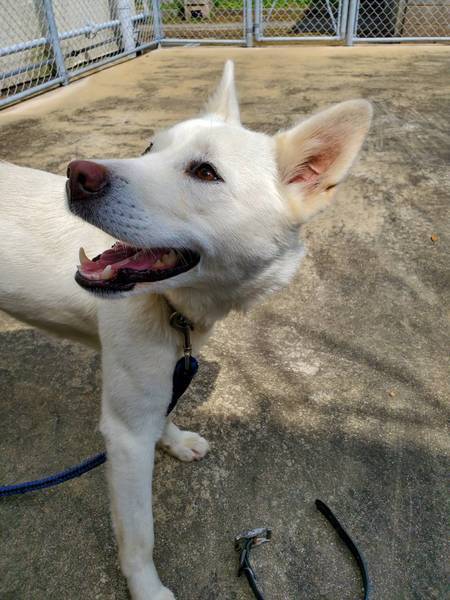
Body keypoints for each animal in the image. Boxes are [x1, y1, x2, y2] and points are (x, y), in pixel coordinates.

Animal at [0, 61, 371, 599]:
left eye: (204, 173)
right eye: (149, 148)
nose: (76, 174)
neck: (171, 306)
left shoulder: (161, 377)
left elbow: (166, 411)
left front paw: (174, 441)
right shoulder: (125, 436)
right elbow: (140, 534)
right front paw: (148, 590)